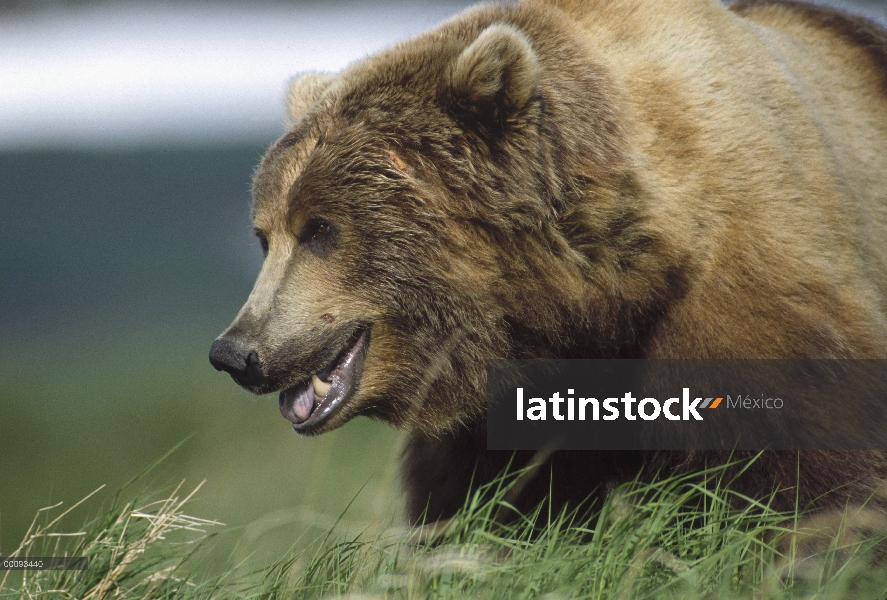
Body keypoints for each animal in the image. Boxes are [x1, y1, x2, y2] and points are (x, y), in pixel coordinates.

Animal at [212, 0, 887, 524]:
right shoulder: (497, 412)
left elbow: (798, 467)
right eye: (265, 235)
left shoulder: (745, 295)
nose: (236, 351)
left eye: (320, 229)